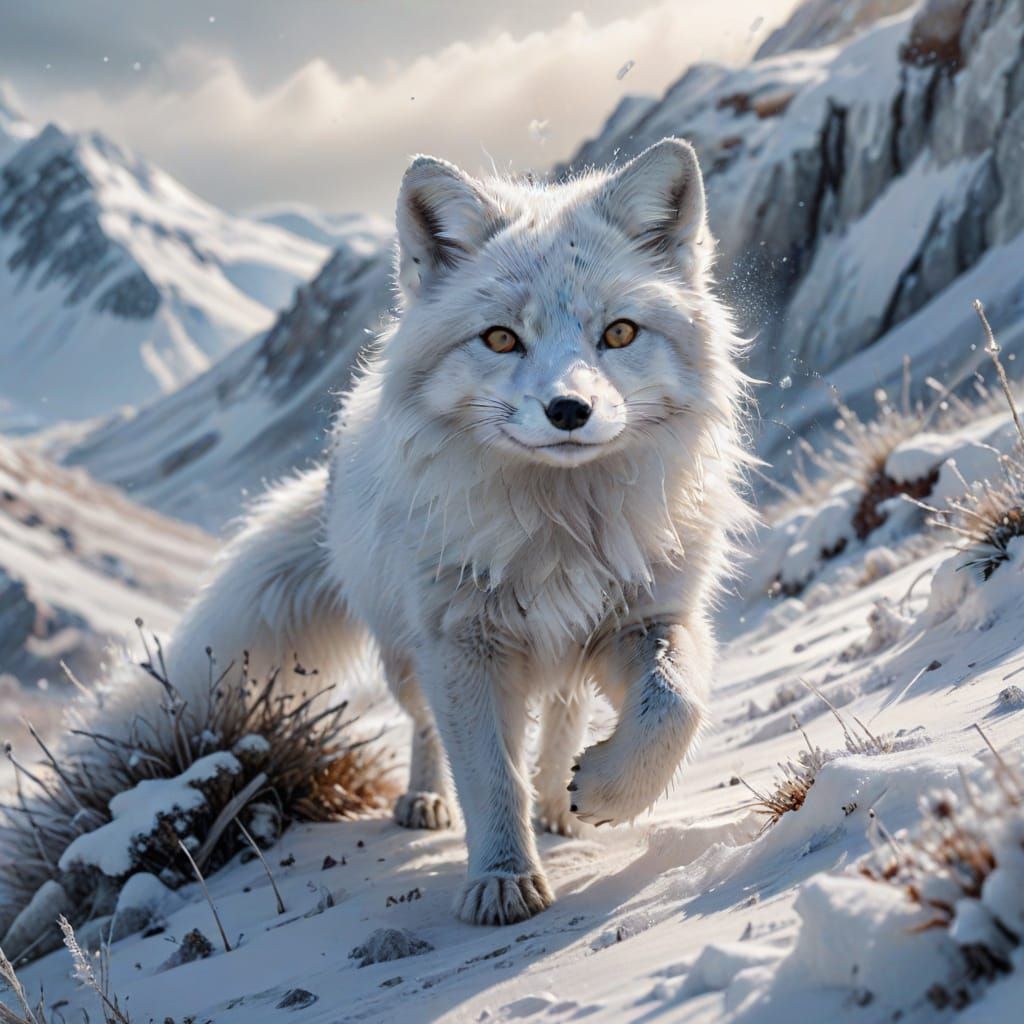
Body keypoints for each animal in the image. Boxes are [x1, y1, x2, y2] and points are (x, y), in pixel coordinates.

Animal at [115, 138, 750, 926]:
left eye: (620, 333)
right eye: (501, 339)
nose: (568, 410)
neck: (560, 531)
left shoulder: (650, 617)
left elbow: (673, 707)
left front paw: (605, 790)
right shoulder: (462, 649)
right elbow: (490, 778)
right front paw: (504, 880)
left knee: (565, 711)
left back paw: (559, 803)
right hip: (408, 661)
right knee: (429, 733)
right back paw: (427, 801)